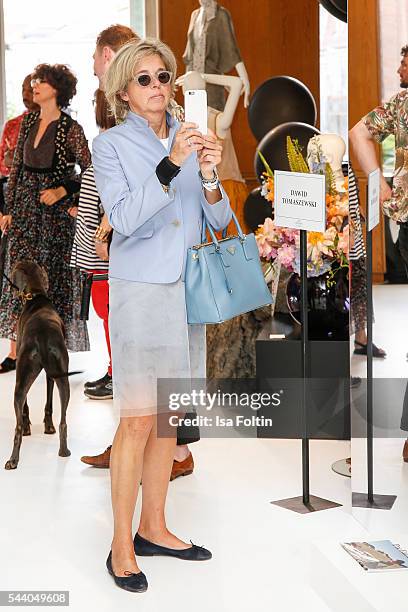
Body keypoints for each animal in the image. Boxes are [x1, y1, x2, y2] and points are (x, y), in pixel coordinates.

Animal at [4, 260, 71, 470]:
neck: (36, 294)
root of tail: (42, 336)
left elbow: (25, 408)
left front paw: (28, 427)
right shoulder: (51, 374)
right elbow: (48, 403)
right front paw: (48, 426)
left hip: (22, 377)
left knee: (17, 426)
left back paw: (14, 458)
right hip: (62, 378)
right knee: (63, 420)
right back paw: (63, 451)